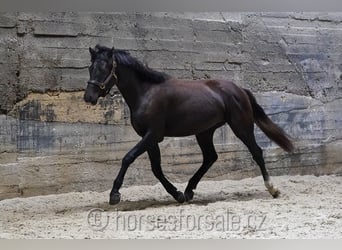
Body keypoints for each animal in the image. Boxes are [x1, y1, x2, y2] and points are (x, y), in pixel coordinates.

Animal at [84, 45, 292, 205]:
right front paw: (178, 194)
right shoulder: (150, 138)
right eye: (90, 68)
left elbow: (128, 157)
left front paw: (114, 194)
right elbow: (156, 168)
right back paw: (189, 190)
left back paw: (273, 189)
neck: (146, 93)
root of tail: (240, 89)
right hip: (205, 132)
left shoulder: (153, 134)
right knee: (210, 157)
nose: (88, 97)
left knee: (256, 152)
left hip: (242, 127)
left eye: (105, 68)